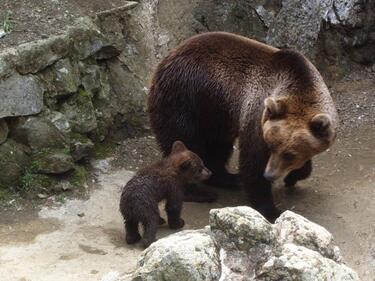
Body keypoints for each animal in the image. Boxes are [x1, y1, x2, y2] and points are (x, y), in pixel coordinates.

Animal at [148, 31, 340, 220]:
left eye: (289, 154)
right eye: (270, 145)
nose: (270, 174)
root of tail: (166, 59)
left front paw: (294, 176)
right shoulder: (257, 116)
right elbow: (253, 161)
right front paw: (271, 210)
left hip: (215, 112)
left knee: (218, 146)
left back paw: (229, 178)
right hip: (185, 101)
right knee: (187, 143)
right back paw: (200, 192)